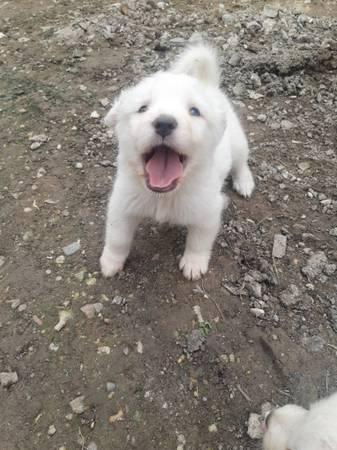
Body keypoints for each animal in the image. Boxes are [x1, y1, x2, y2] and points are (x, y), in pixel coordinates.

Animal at [101, 43, 253, 282]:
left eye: (194, 111)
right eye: (143, 108)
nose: (164, 122)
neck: (164, 196)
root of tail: (209, 86)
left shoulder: (208, 211)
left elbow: (199, 241)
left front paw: (193, 264)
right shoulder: (121, 204)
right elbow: (117, 237)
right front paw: (110, 262)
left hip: (238, 143)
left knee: (241, 162)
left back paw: (244, 182)